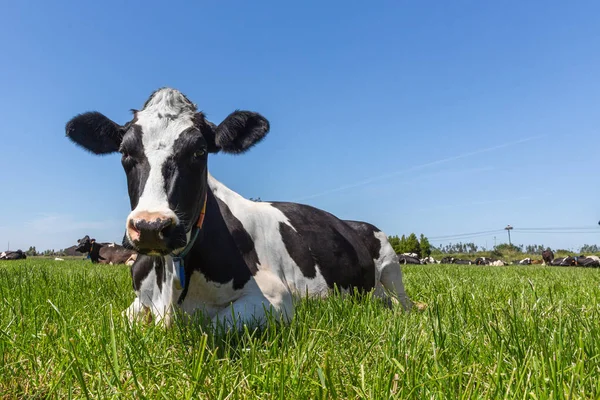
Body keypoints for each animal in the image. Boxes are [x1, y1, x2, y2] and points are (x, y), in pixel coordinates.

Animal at [64, 86, 412, 328]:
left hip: (391, 264)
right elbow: (116, 321)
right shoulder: (138, 302)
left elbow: (211, 324)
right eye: (125, 151)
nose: (151, 226)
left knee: (401, 302)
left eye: (200, 151)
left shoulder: (277, 300)